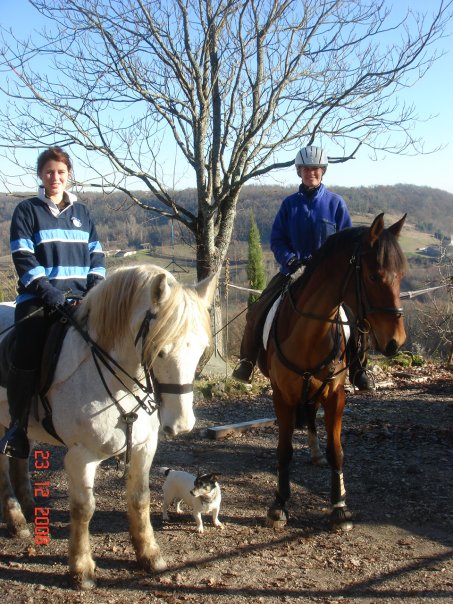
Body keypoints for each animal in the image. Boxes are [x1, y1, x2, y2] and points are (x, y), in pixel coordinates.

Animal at [0, 264, 217, 588]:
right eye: (160, 351)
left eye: (201, 350)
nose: (181, 425)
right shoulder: (80, 457)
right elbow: (83, 508)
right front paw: (81, 569)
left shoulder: (143, 447)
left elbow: (140, 499)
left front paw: (149, 555)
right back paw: (15, 520)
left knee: (18, 460)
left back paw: (28, 508)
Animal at [260, 215, 408, 532]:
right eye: (374, 276)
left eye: (401, 275)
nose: (396, 341)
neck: (309, 332)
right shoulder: (282, 397)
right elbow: (284, 450)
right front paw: (279, 505)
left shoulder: (335, 396)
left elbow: (337, 451)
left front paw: (339, 507)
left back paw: (316, 453)